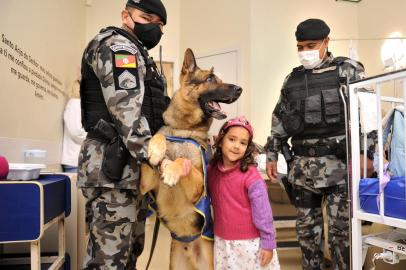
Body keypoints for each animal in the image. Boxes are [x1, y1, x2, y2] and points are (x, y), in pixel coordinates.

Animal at [140, 49, 241, 270]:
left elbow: (181, 162)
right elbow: (159, 136)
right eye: (210, 78)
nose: (240, 89)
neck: (184, 131)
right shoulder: (145, 184)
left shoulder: (198, 188)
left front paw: (171, 170)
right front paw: (155, 150)